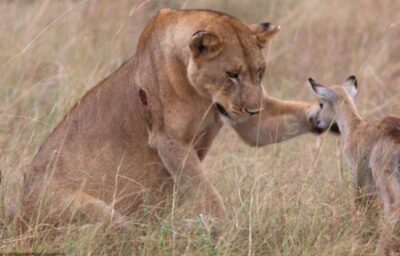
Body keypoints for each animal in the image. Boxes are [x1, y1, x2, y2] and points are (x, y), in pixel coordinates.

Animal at [310, 75, 400, 254]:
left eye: (321, 103)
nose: (316, 120)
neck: (355, 127)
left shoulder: (358, 169)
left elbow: (358, 199)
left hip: (384, 175)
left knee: (393, 208)